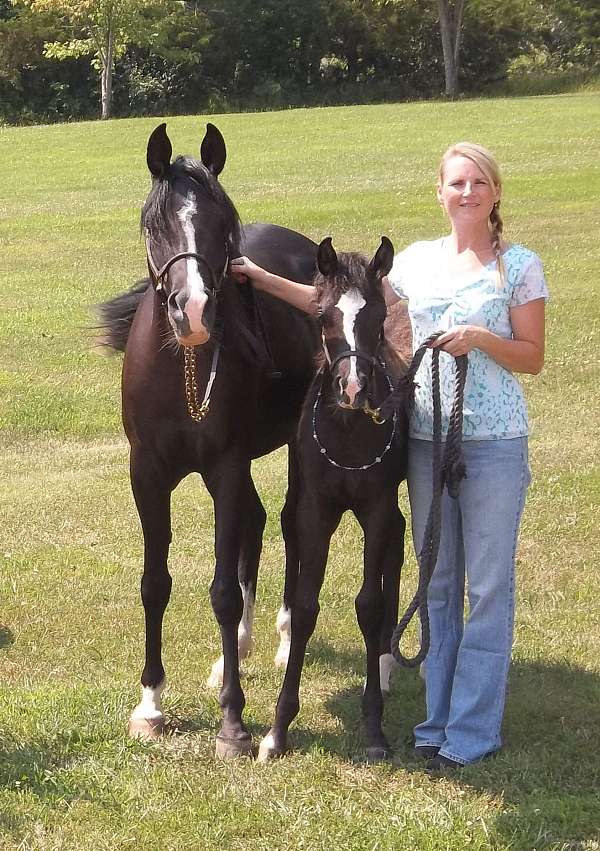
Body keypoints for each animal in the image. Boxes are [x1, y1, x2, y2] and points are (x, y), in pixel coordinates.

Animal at [99, 123, 322, 756]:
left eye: (223, 225)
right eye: (155, 225)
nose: (193, 310)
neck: (184, 371)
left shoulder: (224, 467)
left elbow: (221, 590)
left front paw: (233, 722)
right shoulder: (147, 475)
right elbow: (155, 583)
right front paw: (150, 703)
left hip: (291, 448)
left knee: (288, 525)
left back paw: (281, 637)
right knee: (255, 522)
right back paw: (236, 652)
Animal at [255, 236, 410, 764]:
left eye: (377, 315)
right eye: (322, 316)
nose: (354, 388)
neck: (348, 432)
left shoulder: (376, 506)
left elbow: (369, 603)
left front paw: (375, 728)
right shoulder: (317, 510)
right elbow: (306, 606)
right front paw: (278, 729)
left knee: (398, 549)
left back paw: (385, 662)